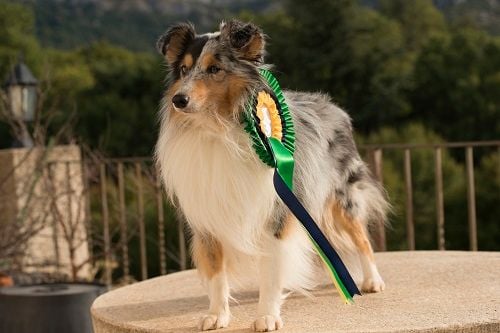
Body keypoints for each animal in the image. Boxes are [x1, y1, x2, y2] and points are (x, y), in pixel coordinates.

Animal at [154, 20, 388, 330]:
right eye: (183, 69)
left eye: (215, 69)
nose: (179, 100)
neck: (221, 129)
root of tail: (332, 106)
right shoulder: (208, 215)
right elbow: (216, 272)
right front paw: (217, 315)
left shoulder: (277, 211)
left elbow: (272, 270)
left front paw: (266, 316)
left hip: (340, 198)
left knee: (361, 236)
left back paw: (373, 280)